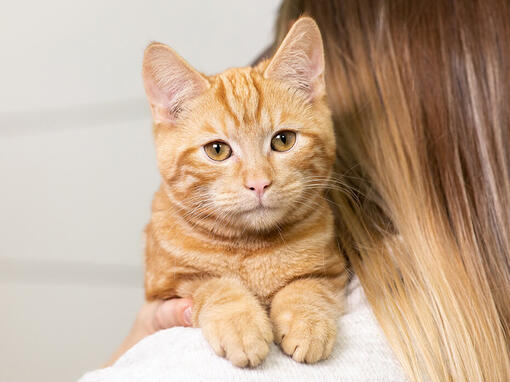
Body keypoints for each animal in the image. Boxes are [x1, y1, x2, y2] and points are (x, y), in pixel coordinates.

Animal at [141, 17, 346, 368]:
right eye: (218, 150)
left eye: (283, 140)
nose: (259, 183)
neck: (251, 248)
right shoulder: (169, 285)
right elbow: (216, 285)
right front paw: (241, 324)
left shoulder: (332, 270)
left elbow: (306, 286)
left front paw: (308, 321)